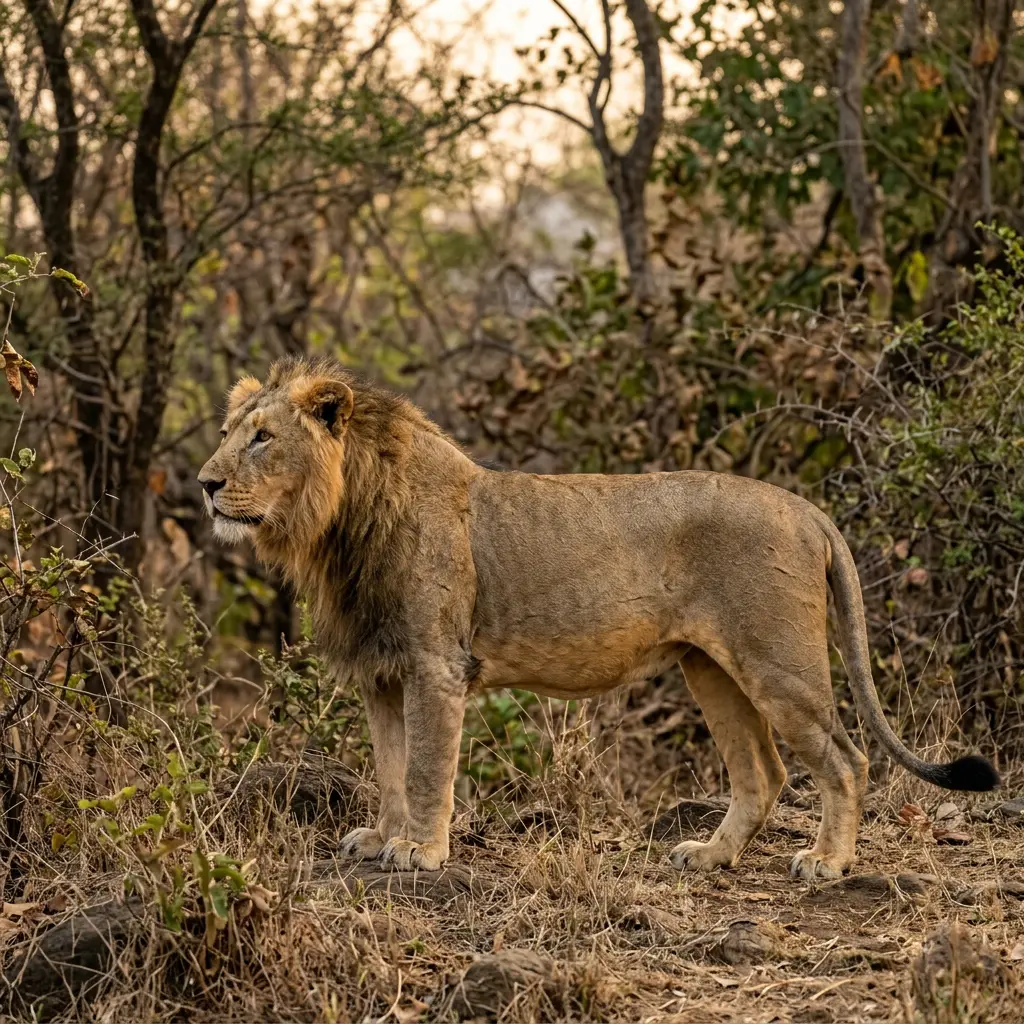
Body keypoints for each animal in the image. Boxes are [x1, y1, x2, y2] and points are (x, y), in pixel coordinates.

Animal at [198, 357, 998, 879]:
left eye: (263, 437)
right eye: (232, 430)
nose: (205, 482)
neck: (338, 523)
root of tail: (806, 508)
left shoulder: (435, 663)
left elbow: (425, 769)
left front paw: (421, 852)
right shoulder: (382, 671)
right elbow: (390, 766)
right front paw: (379, 839)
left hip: (779, 663)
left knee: (844, 758)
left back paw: (826, 863)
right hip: (710, 669)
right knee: (763, 771)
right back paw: (710, 856)